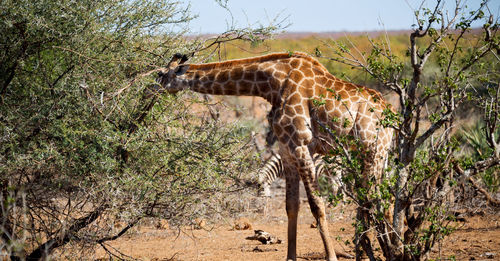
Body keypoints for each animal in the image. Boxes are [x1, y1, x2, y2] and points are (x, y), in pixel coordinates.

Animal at [157, 51, 394, 258]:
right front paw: (290, 257)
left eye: (161, 73)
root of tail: (390, 112)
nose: (153, 89)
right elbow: (291, 206)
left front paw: (332, 257)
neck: (272, 84)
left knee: (376, 201)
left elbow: (317, 206)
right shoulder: (286, 149)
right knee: (385, 202)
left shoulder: (301, 144)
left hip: (371, 151)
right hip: (380, 155)